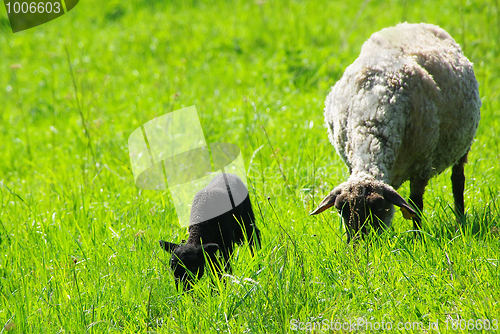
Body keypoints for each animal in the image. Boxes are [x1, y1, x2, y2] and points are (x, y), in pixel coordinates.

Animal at [312, 24, 480, 243]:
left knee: (458, 180)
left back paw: (461, 219)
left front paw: (418, 239)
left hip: (463, 145)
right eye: (341, 210)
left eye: (378, 209)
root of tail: (413, 24)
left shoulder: (421, 166)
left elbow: (415, 205)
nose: (359, 246)